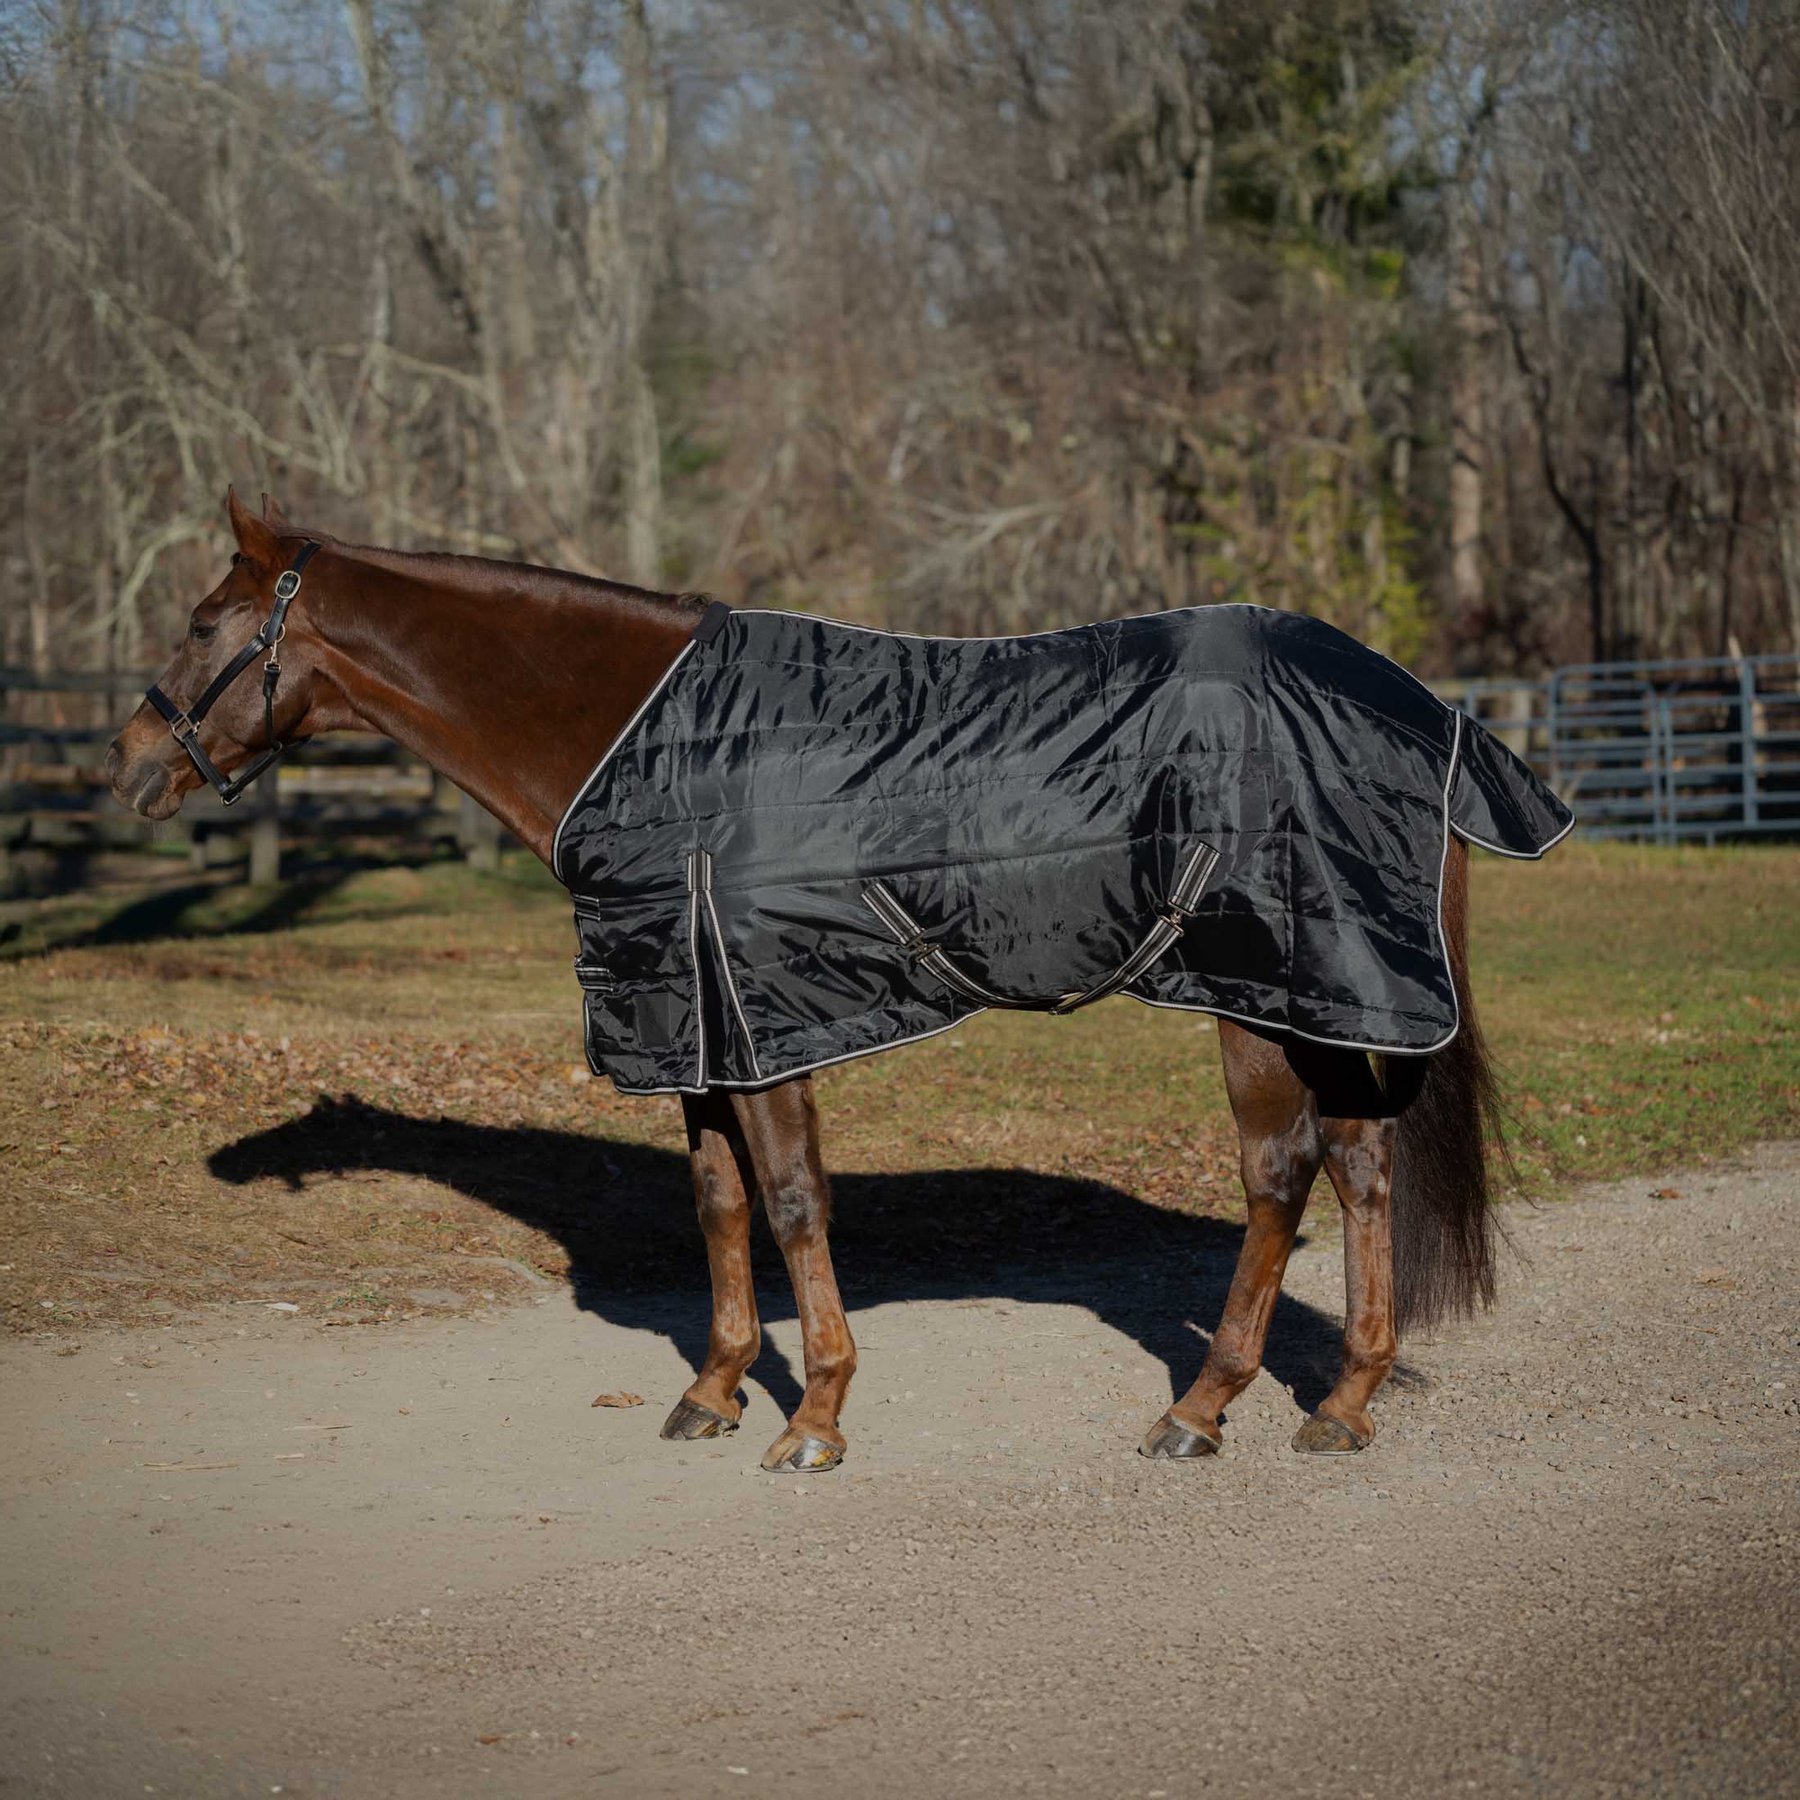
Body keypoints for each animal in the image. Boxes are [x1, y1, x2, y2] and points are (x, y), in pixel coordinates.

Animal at [107, 489, 1510, 1475]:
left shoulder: (765, 1017)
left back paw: (1202, 1410)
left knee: (1281, 1175)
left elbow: (788, 1204)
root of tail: (1430, 712)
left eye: (201, 623)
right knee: (1363, 1163)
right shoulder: (697, 1023)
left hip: (1249, 991)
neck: (657, 743)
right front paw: (715, 1390)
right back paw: (1344, 1401)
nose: (128, 763)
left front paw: (816, 1415)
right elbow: (720, 1204)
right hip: (1317, 994)